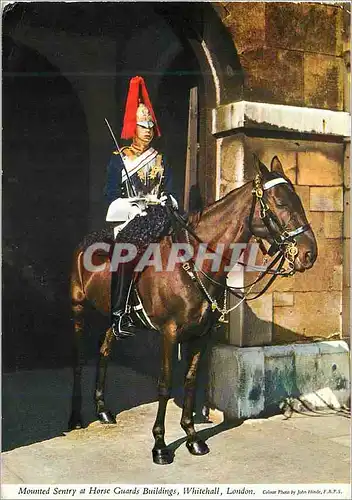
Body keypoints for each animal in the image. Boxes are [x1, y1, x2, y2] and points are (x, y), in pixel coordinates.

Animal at [67, 156, 318, 464]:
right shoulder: (169, 333)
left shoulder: (202, 335)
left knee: (104, 348)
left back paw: (102, 408)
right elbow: (165, 384)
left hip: (115, 320)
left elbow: (189, 380)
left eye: (298, 199)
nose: (309, 253)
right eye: (280, 202)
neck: (196, 263)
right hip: (78, 307)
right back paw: (76, 416)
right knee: (79, 358)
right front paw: (160, 445)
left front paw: (192, 436)